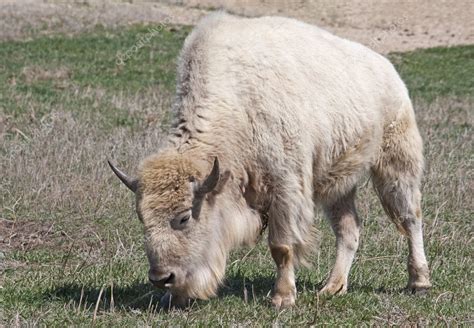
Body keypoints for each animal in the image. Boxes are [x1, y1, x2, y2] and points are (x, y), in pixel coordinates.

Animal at [109, 12, 432, 308]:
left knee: (410, 218)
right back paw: (332, 287)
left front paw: (282, 298)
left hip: (395, 164)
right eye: (142, 218)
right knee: (349, 229)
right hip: (338, 183)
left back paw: (419, 282)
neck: (238, 106)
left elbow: (281, 246)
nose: (161, 278)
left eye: (184, 217)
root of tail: (388, 70)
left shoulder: (285, 188)